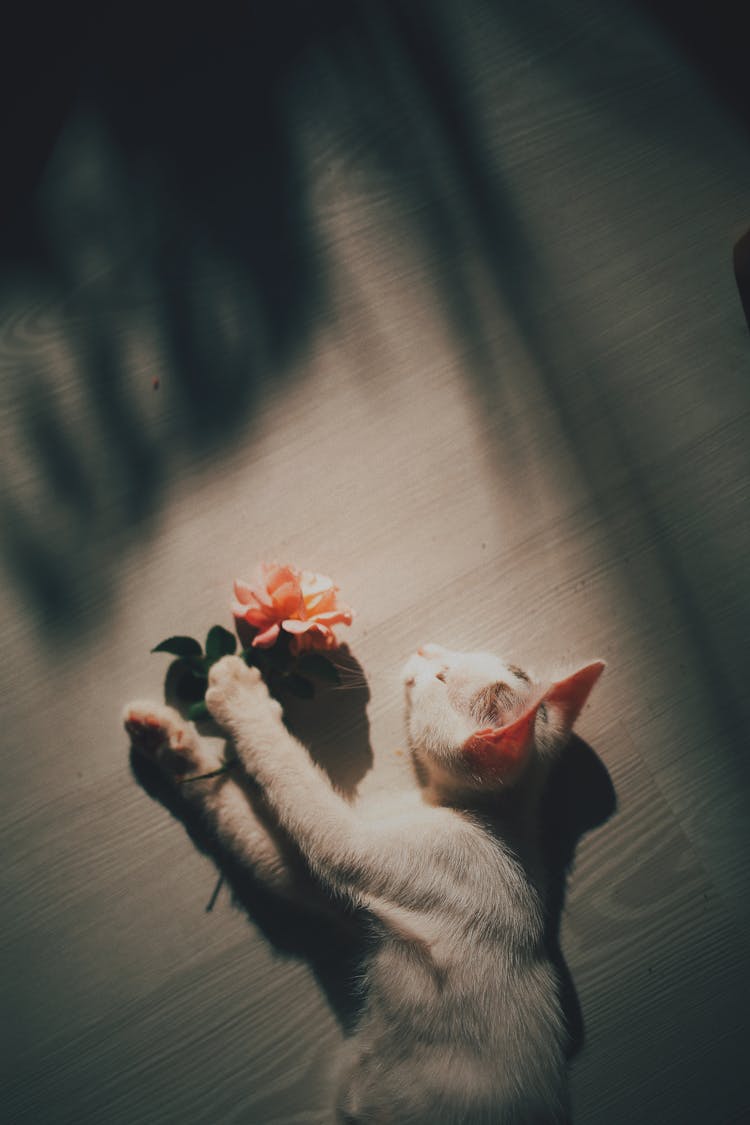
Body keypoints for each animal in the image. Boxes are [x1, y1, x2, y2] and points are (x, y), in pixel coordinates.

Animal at [123, 643, 602, 1125]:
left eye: (442, 676)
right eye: (456, 653)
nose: (426, 648)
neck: (490, 817)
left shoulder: (367, 848)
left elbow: (287, 771)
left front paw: (237, 691)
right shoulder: (317, 880)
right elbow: (245, 823)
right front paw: (168, 741)